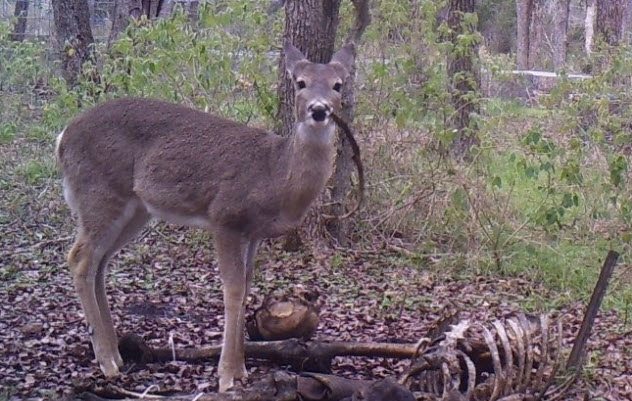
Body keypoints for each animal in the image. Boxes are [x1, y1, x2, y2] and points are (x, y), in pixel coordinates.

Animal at [55, 43, 356, 390]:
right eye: (300, 82)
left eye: (338, 84)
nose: (319, 110)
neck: (275, 175)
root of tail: (62, 138)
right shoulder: (224, 216)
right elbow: (233, 289)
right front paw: (226, 376)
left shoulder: (254, 233)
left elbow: (247, 285)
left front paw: (241, 369)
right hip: (99, 193)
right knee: (79, 258)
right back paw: (106, 363)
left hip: (135, 209)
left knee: (100, 263)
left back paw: (116, 355)